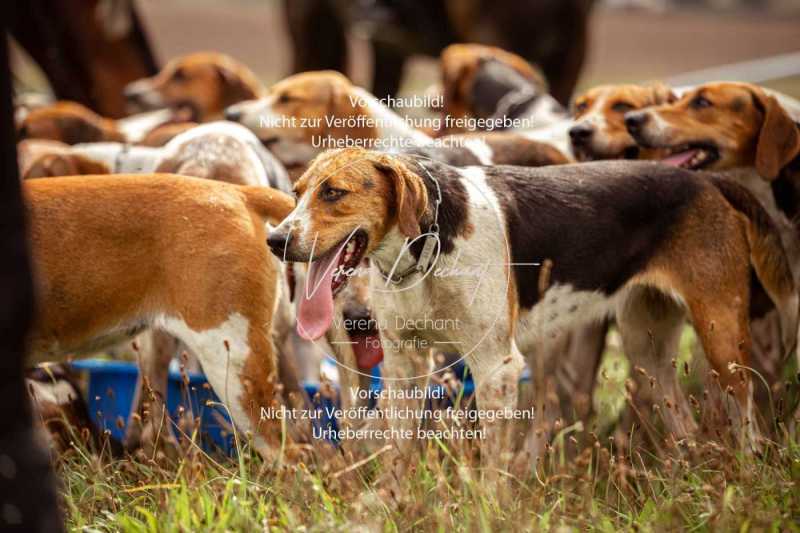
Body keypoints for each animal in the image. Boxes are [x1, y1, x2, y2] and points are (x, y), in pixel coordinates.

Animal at [266, 148, 796, 468]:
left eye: (334, 193)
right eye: (296, 194)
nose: (275, 240)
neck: (430, 245)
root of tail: (708, 182)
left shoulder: (496, 368)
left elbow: (492, 467)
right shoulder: (403, 367)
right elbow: (399, 452)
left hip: (721, 338)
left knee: (747, 418)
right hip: (648, 346)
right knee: (681, 415)